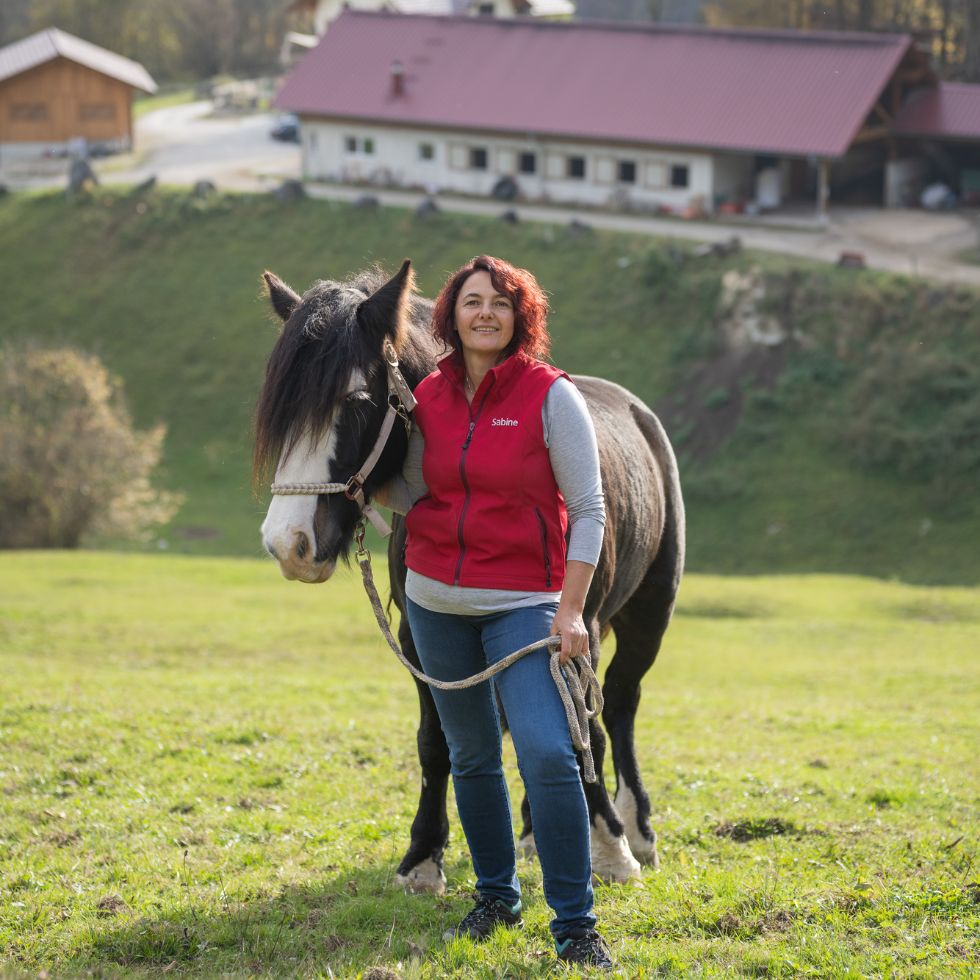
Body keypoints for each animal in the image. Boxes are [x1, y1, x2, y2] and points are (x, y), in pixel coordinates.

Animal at [253, 262, 684, 896]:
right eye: (281, 410)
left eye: (355, 401)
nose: (290, 544)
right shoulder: (420, 638)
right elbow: (437, 742)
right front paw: (422, 857)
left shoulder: (575, 629)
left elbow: (588, 728)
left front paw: (610, 845)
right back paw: (533, 832)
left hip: (647, 614)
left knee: (621, 707)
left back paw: (637, 829)